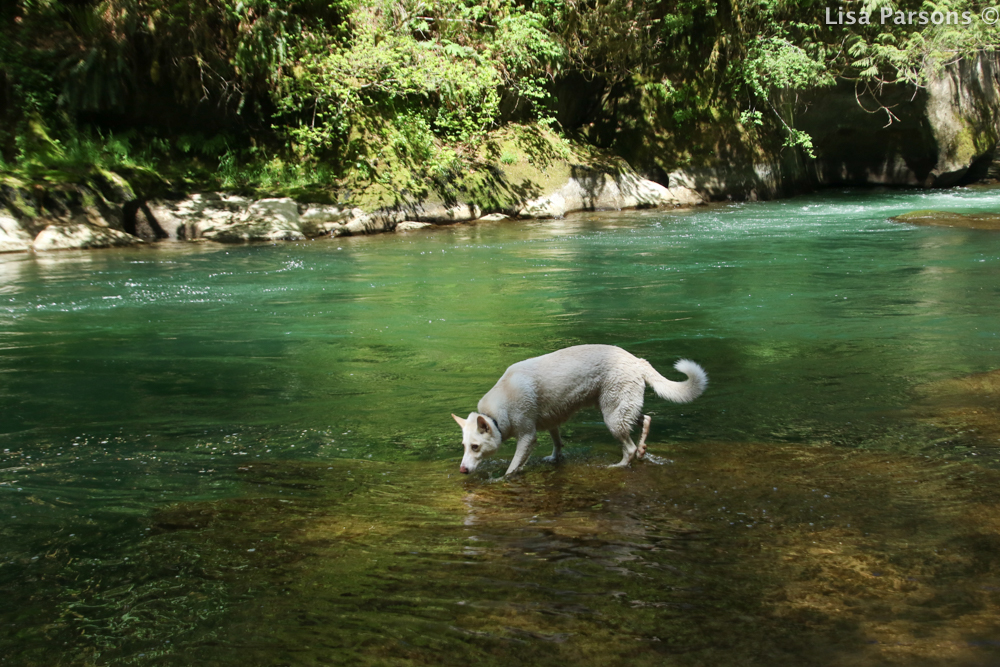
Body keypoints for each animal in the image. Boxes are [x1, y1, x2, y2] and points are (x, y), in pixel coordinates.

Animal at [450, 344, 708, 474]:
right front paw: (554, 458)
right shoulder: (551, 422)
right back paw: (643, 449)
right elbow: (557, 443)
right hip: (623, 410)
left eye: (475, 447)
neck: (495, 415)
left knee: (629, 448)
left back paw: (619, 465)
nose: (462, 470)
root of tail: (637, 360)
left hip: (612, 417)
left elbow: (513, 467)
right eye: (463, 446)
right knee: (645, 420)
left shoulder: (527, 436)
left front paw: (502, 480)